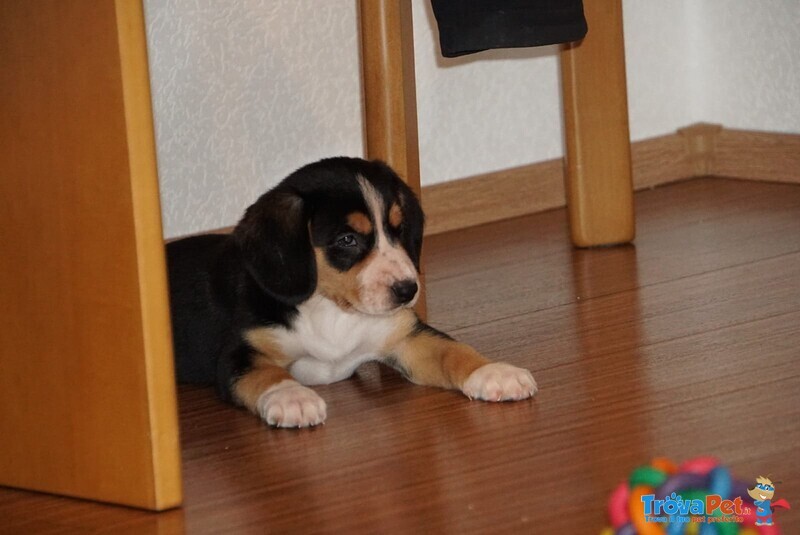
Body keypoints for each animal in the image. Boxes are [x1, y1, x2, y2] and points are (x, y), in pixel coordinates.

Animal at [166, 157, 536, 430]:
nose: (408, 290)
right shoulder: (239, 354)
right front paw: (293, 398)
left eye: (398, 228)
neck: (331, 311)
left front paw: (492, 372)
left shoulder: (405, 336)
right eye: (347, 240)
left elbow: (452, 350)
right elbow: (268, 374)